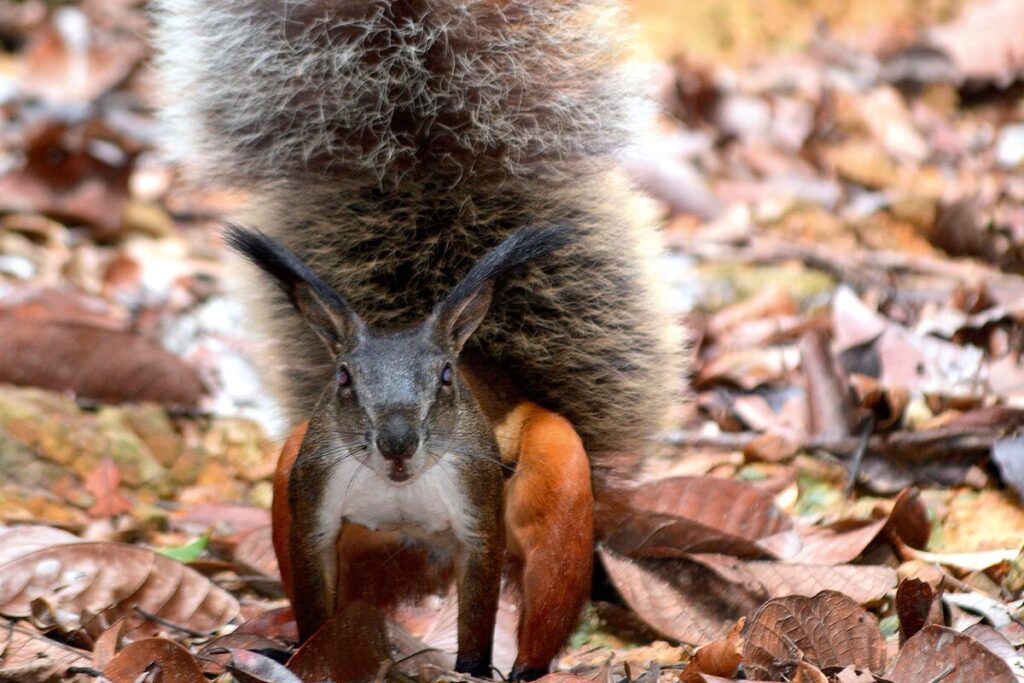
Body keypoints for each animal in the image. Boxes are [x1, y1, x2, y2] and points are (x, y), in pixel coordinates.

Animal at [154, 0, 684, 679]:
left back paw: (525, 665)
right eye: (343, 378)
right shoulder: (312, 507)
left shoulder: (478, 514)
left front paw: (471, 666)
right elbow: (314, 590)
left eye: (446, 377)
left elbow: (479, 608)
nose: (398, 442)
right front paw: (311, 654)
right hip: (299, 488)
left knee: (543, 592)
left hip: (561, 485)